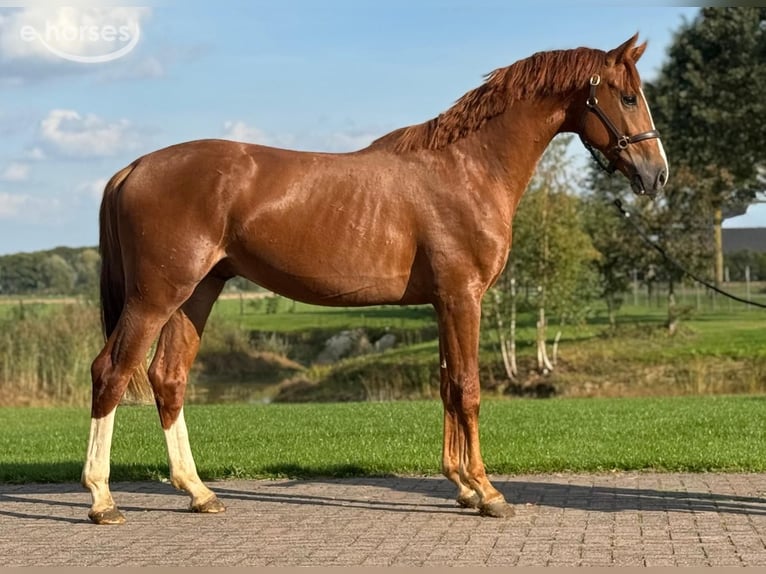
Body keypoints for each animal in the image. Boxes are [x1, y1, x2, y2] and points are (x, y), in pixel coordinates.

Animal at [82, 34, 668, 524]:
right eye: (628, 97)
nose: (656, 173)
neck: (466, 168)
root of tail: (134, 167)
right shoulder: (463, 298)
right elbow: (469, 389)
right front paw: (487, 491)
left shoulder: (442, 303)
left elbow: (447, 386)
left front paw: (461, 486)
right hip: (156, 297)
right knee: (111, 372)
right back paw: (102, 499)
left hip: (196, 294)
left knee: (168, 379)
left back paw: (199, 492)